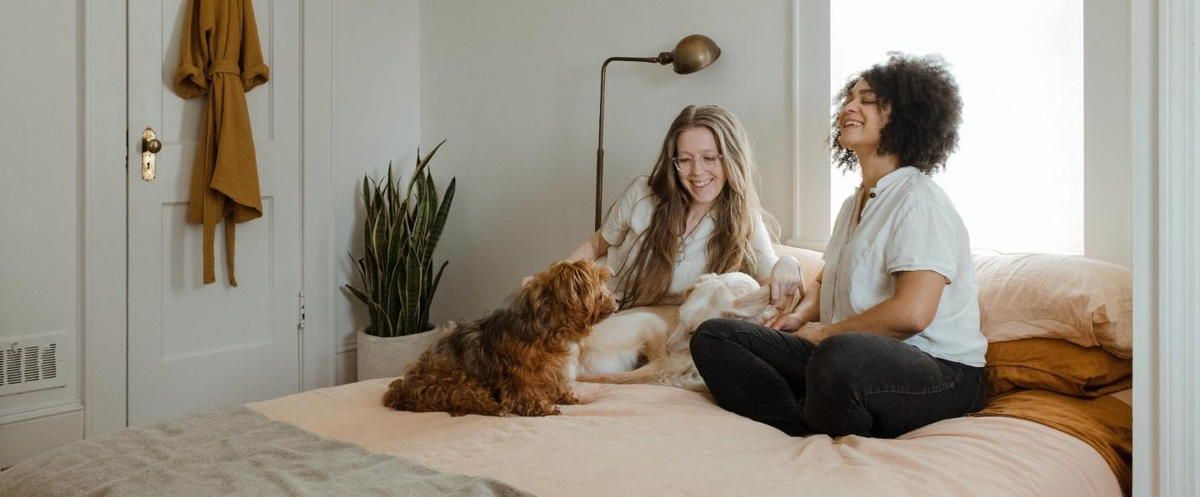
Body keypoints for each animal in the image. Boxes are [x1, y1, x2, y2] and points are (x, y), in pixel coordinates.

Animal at [381, 258, 614, 417]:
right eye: (599, 285)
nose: (616, 300)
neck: (549, 327)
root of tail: (402, 391)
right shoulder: (520, 372)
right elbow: (526, 390)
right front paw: (540, 407)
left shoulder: (553, 369)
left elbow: (558, 384)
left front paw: (568, 398)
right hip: (455, 380)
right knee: (464, 398)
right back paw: (495, 407)